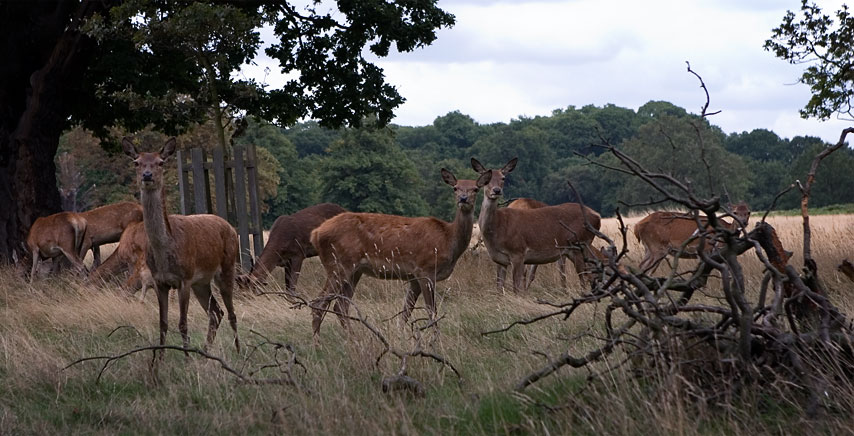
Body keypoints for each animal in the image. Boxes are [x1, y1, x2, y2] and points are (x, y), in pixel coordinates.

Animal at [123, 138, 241, 352]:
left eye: (161, 162)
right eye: (136, 162)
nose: (147, 175)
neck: (165, 250)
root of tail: (229, 226)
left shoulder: (184, 279)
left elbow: (182, 324)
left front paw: (187, 357)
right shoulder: (160, 281)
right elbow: (163, 324)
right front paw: (157, 361)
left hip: (227, 267)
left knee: (231, 313)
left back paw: (238, 351)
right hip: (201, 282)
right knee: (216, 312)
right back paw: (205, 351)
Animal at [310, 169, 492, 336]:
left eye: (475, 188)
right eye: (455, 188)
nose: (463, 198)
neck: (448, 240)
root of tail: (316, 233)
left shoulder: (414, 277)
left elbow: (406, 312)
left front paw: (400, 336)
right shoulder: (425, 269)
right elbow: (431, 311)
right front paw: (435, 340)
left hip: (354, 270)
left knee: (340, 306)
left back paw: (353, 339)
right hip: (339, 263)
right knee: (318, 303)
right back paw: (318, 343)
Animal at [472, 158, 604, 292]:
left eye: (503, 177)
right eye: (486, 178)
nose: (497, 190)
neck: (497, 229)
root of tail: (597, 216)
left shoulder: (518, 252)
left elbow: (516, 288)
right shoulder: (500, 260)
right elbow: (499, 288)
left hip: (580, 244)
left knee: (585, 276)